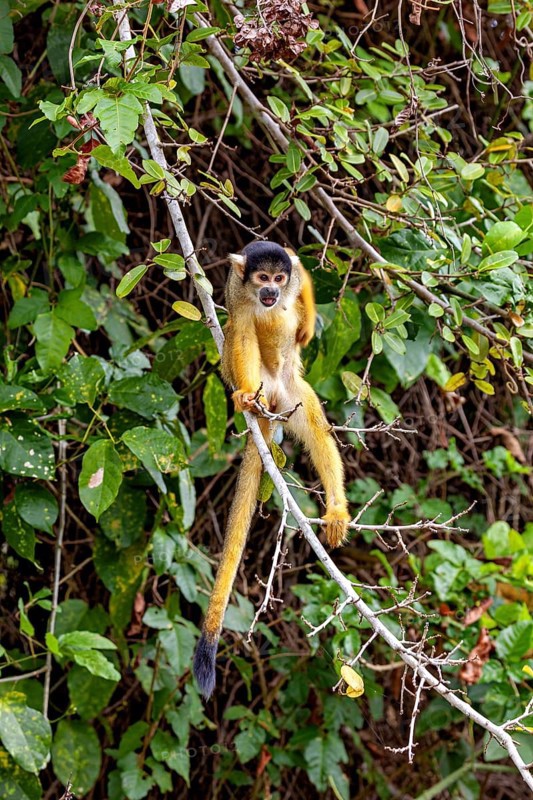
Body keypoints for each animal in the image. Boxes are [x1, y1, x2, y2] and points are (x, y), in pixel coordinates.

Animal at [193, 241, 350, 699]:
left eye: (278, 279)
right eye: (261, 279)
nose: (272, 292)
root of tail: (276, 398)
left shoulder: (293, 274)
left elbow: (305, 273)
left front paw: (307, 325)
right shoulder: (234, 291)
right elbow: (241, 330)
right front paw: (244, 392)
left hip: (294, 391)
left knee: (317, 428)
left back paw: (335, 508)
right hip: (260, 383)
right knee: (232, 339)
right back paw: (248, 398)